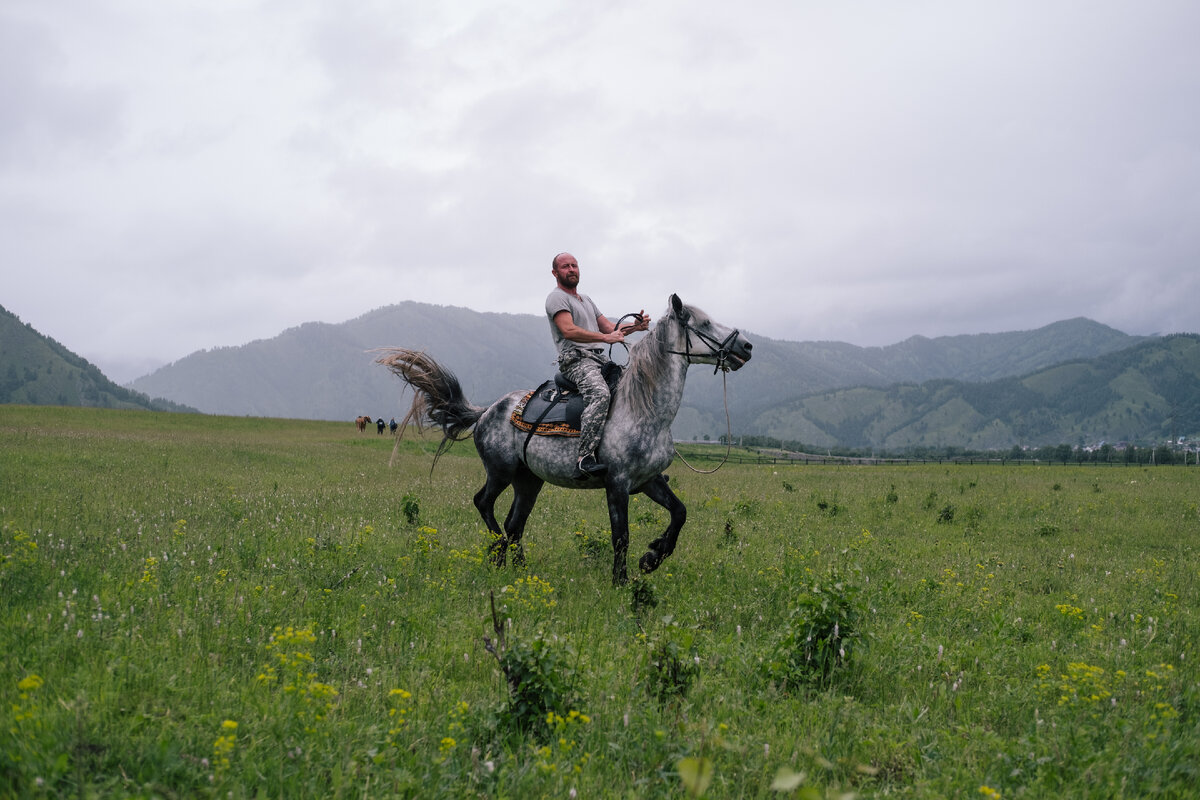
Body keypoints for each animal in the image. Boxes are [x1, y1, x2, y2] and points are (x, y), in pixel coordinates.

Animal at [374, 297, 748, 585]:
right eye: (704, 322)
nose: (746, 346)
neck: (643, 409)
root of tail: (486, 411)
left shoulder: (648, 481)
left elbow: (680, 513)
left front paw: (653, 556)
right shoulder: (617, 484)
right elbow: (621, 536)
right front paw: (622, 581)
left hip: (529, 481)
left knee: (515, 523)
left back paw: (521, 571)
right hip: (500, 472)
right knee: (484, 504)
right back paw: (497, 553)